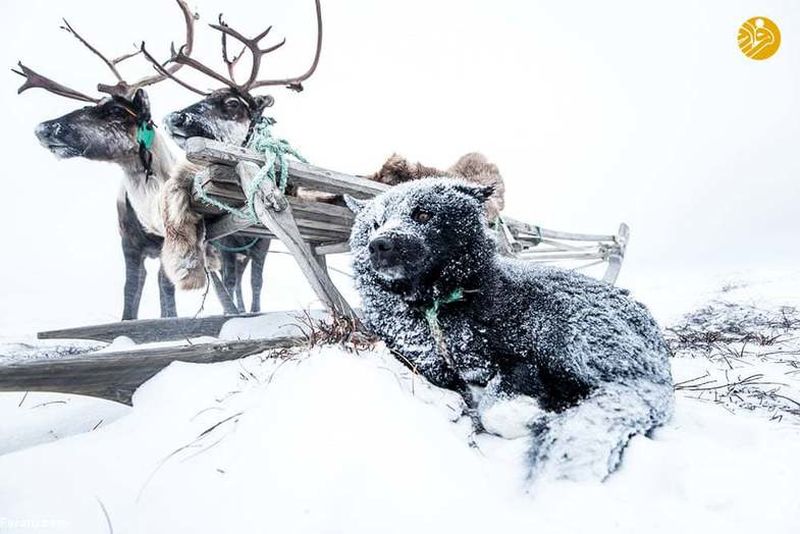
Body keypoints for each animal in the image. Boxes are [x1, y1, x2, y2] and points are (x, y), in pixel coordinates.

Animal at [346, 181, 672, 486]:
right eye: (375, 223)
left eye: (423, 214)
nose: (379, 244)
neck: (434, 306)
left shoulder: (521, 362)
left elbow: (494, 410)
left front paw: (530, 417)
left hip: (561, 331)